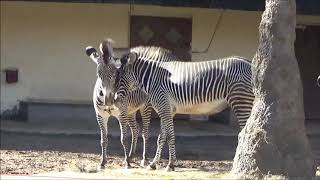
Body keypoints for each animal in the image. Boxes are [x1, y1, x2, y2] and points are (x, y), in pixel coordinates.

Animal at [114, 47, 254, 171]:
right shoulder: (166, 110)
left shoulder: (164, 107)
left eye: (119, 77)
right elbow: (162, 137)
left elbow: (170, 136)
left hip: (241, 102)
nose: (115, 100)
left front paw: (170, 165)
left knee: (245, 133)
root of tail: (249, 62)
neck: (153, 78)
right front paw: (154, 164)